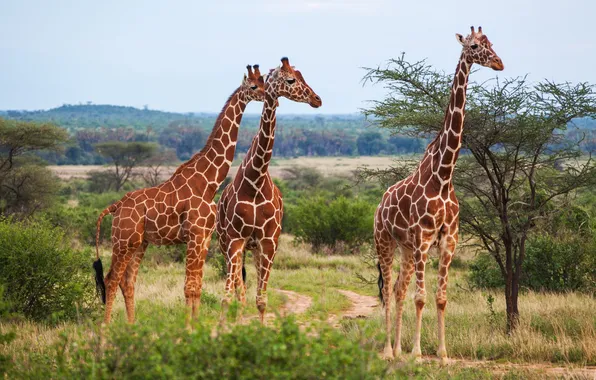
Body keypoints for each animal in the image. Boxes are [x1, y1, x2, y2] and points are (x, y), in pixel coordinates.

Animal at [93, 64, 266, 324]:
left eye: (264, 81)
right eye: (254, 86)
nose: (268, 96)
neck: (209, 183)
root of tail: (116, 206)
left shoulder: (204, 238)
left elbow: (197, 286)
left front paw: (196, 323)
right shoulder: (194, 235)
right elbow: (189, 287)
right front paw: (188, 326)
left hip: (139, 243)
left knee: (128, 280)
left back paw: (132, 326)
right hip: (123, 240)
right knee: (111, 278)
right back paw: (106, 327)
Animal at [217, 57, 322, 324]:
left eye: (301, 75)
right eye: (291, 79)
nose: (317, 99)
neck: (256, 181)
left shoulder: (269, 241)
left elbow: (261, 300)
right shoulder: (235, 240)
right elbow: (228, 297)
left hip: (256, 249)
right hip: (227, 244)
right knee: (238, 288)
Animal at [378, 27, 502, 362]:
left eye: (491, 43)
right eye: (474, 47)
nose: (498, 63)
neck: (444, 176)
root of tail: (380, 203)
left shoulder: (449, 239)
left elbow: (441, 297)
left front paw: (443, 354)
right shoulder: (423, 237)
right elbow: (421, 297)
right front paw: (418, 353)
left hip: (407, 249)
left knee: (399, 289)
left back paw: (397, 349)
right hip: (385, 242)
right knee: (388, 291)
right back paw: (388, 350)